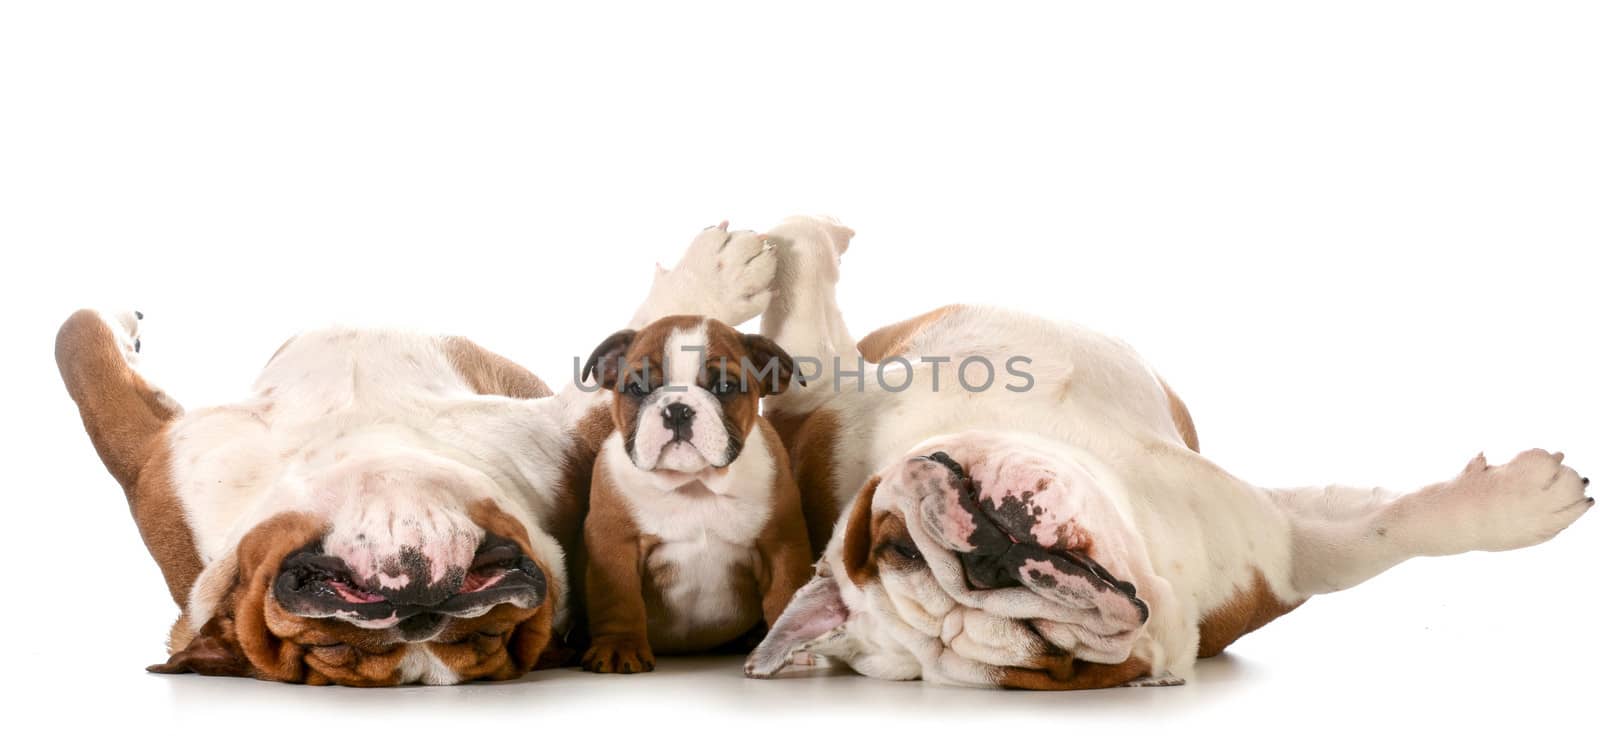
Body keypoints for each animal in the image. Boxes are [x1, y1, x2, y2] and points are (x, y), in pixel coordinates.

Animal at [59, 219, 784, 685]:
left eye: (490, 635)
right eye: (330, 647)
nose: (422, 611)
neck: (364, 438)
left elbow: (77, 341)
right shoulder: (163, 473)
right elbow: (79, 344)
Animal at [576, 313, 812, 669]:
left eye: (725, 387)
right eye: (638, 387)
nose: (677, 409)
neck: (694, 484)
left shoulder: (781, 543)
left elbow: (787, 592)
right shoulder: (614, 542)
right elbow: (619, 598)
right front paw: (620, 647)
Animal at [736, 216, 1587, 688]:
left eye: (897, 548)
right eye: (1044, 650)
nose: (984, 564)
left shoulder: (1276, 541)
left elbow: (1388, 528)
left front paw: (1517, 504)